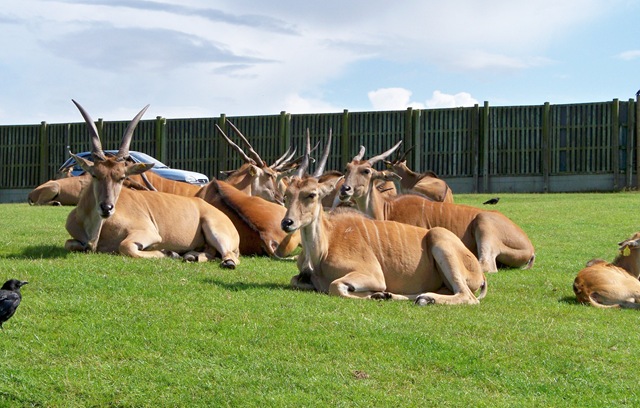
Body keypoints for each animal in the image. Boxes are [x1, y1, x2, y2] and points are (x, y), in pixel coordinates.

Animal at [64, 100, 240, 268]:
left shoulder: (149, 233)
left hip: (215, 231)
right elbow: (70, 243)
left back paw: (224, 262)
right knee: (210, 253)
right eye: (95, 175)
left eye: (121, 177)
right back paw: (191, 256)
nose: (106, 208)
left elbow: (125, 246)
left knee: (230, 256)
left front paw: (168, 253)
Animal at [280, 134, 487, 305]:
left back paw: (425, 299)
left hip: (441, 242)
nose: (287, 223)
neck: (325, 245)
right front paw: (380, 294)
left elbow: (335, 286)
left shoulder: (373, 275)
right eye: (287, 195)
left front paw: (373, 294)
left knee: (468, 296)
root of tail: (480, 273)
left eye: (312, 194)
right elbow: (294, 280)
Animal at [339, 142, 535, 273]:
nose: (344, 189)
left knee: (485, 264)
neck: (386, 209)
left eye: (366, 171)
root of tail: (530, 248)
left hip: (484, 224)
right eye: (347, 168)